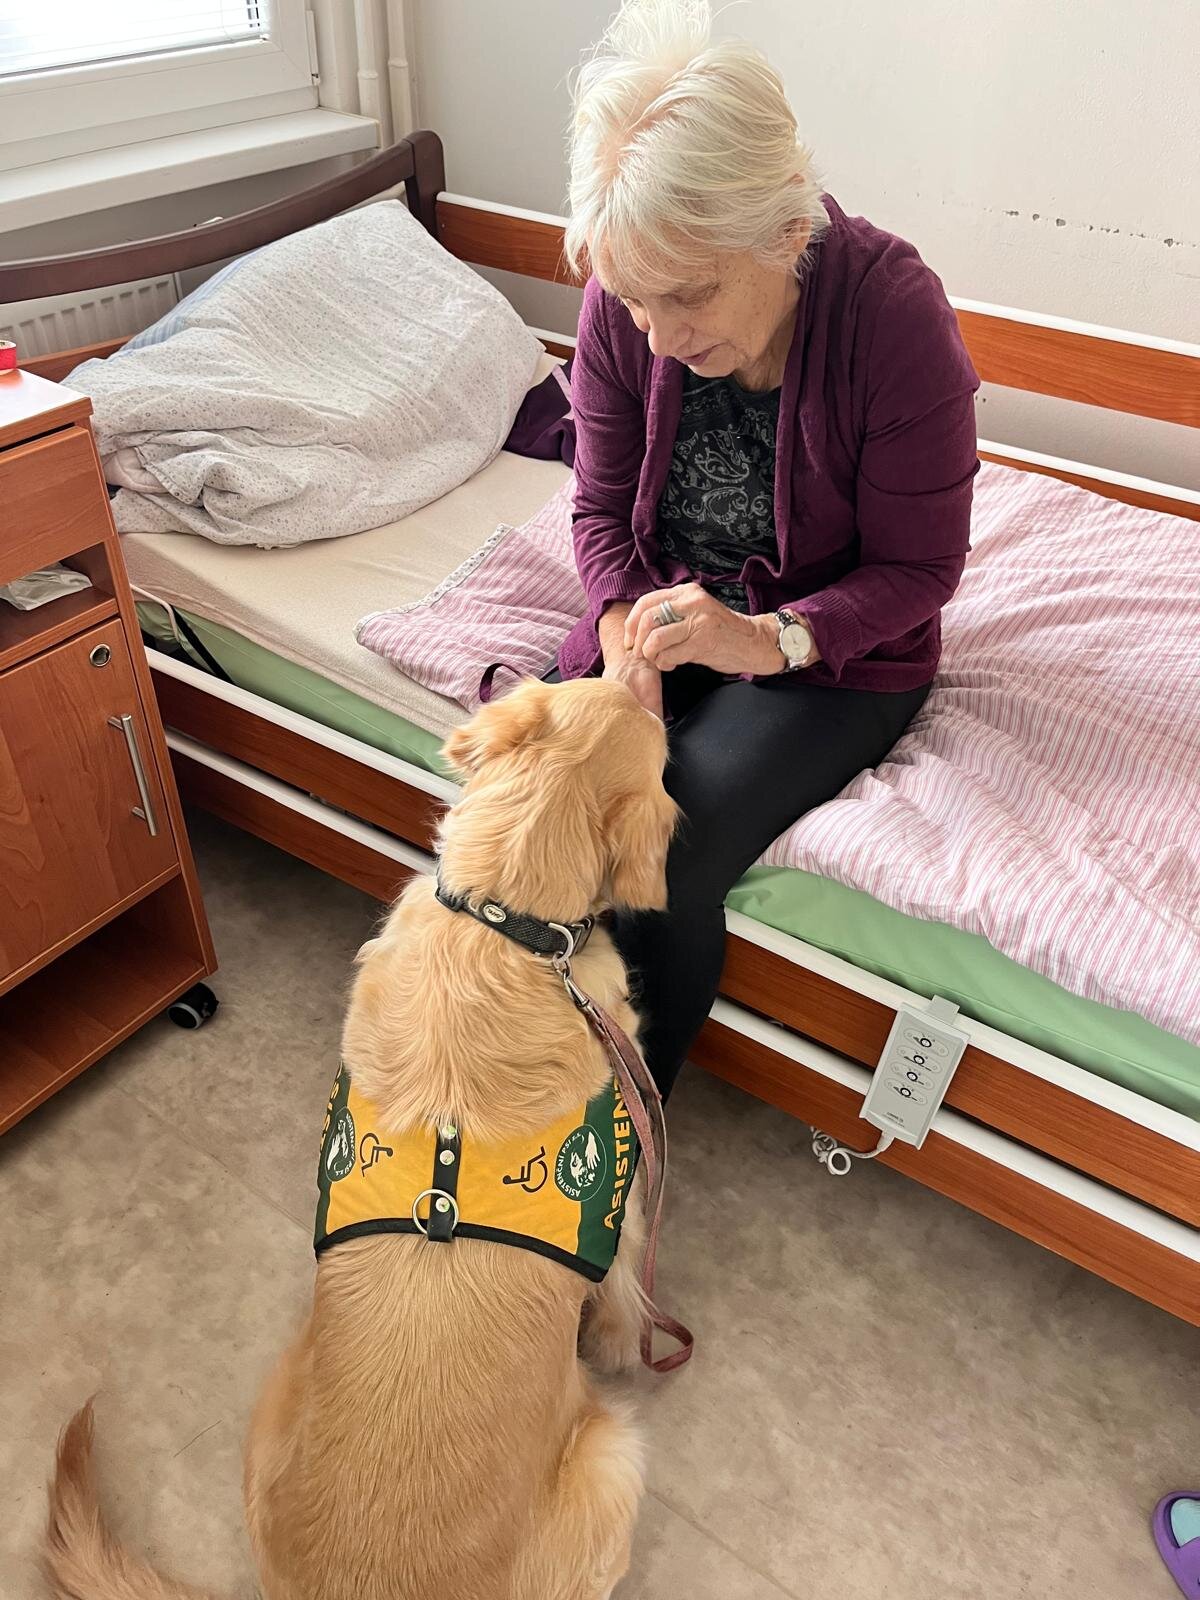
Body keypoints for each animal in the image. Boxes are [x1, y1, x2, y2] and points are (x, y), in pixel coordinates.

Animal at [46, 675, 678, 1600]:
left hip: (275, 1393)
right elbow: (627, 1295)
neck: (502, 923)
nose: (639, 668)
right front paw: (619, 1343)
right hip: (614, 1461)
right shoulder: (627, 1197)